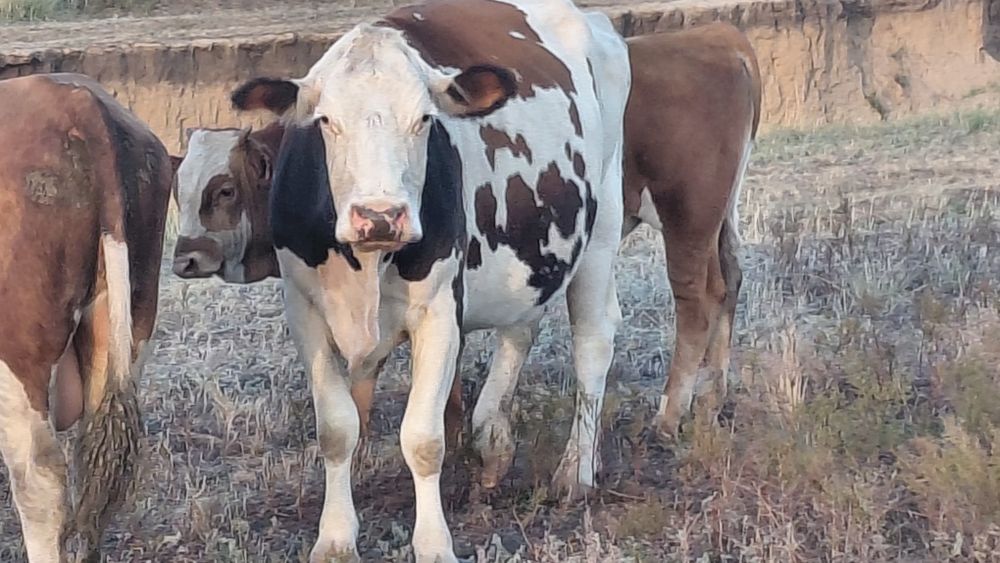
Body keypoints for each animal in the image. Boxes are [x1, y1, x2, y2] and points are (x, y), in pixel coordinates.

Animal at [225, 0, 631, 560]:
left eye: (424, 120)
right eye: (327, 121)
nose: (379, 215)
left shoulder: (438, 310)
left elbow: (423, 439)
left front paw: (434, 543)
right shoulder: (304, 309)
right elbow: (337, 429)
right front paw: (335, 537)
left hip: (602, 220)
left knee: (592, 340)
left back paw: (575, 473)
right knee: (520, 328)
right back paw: (492, 438)